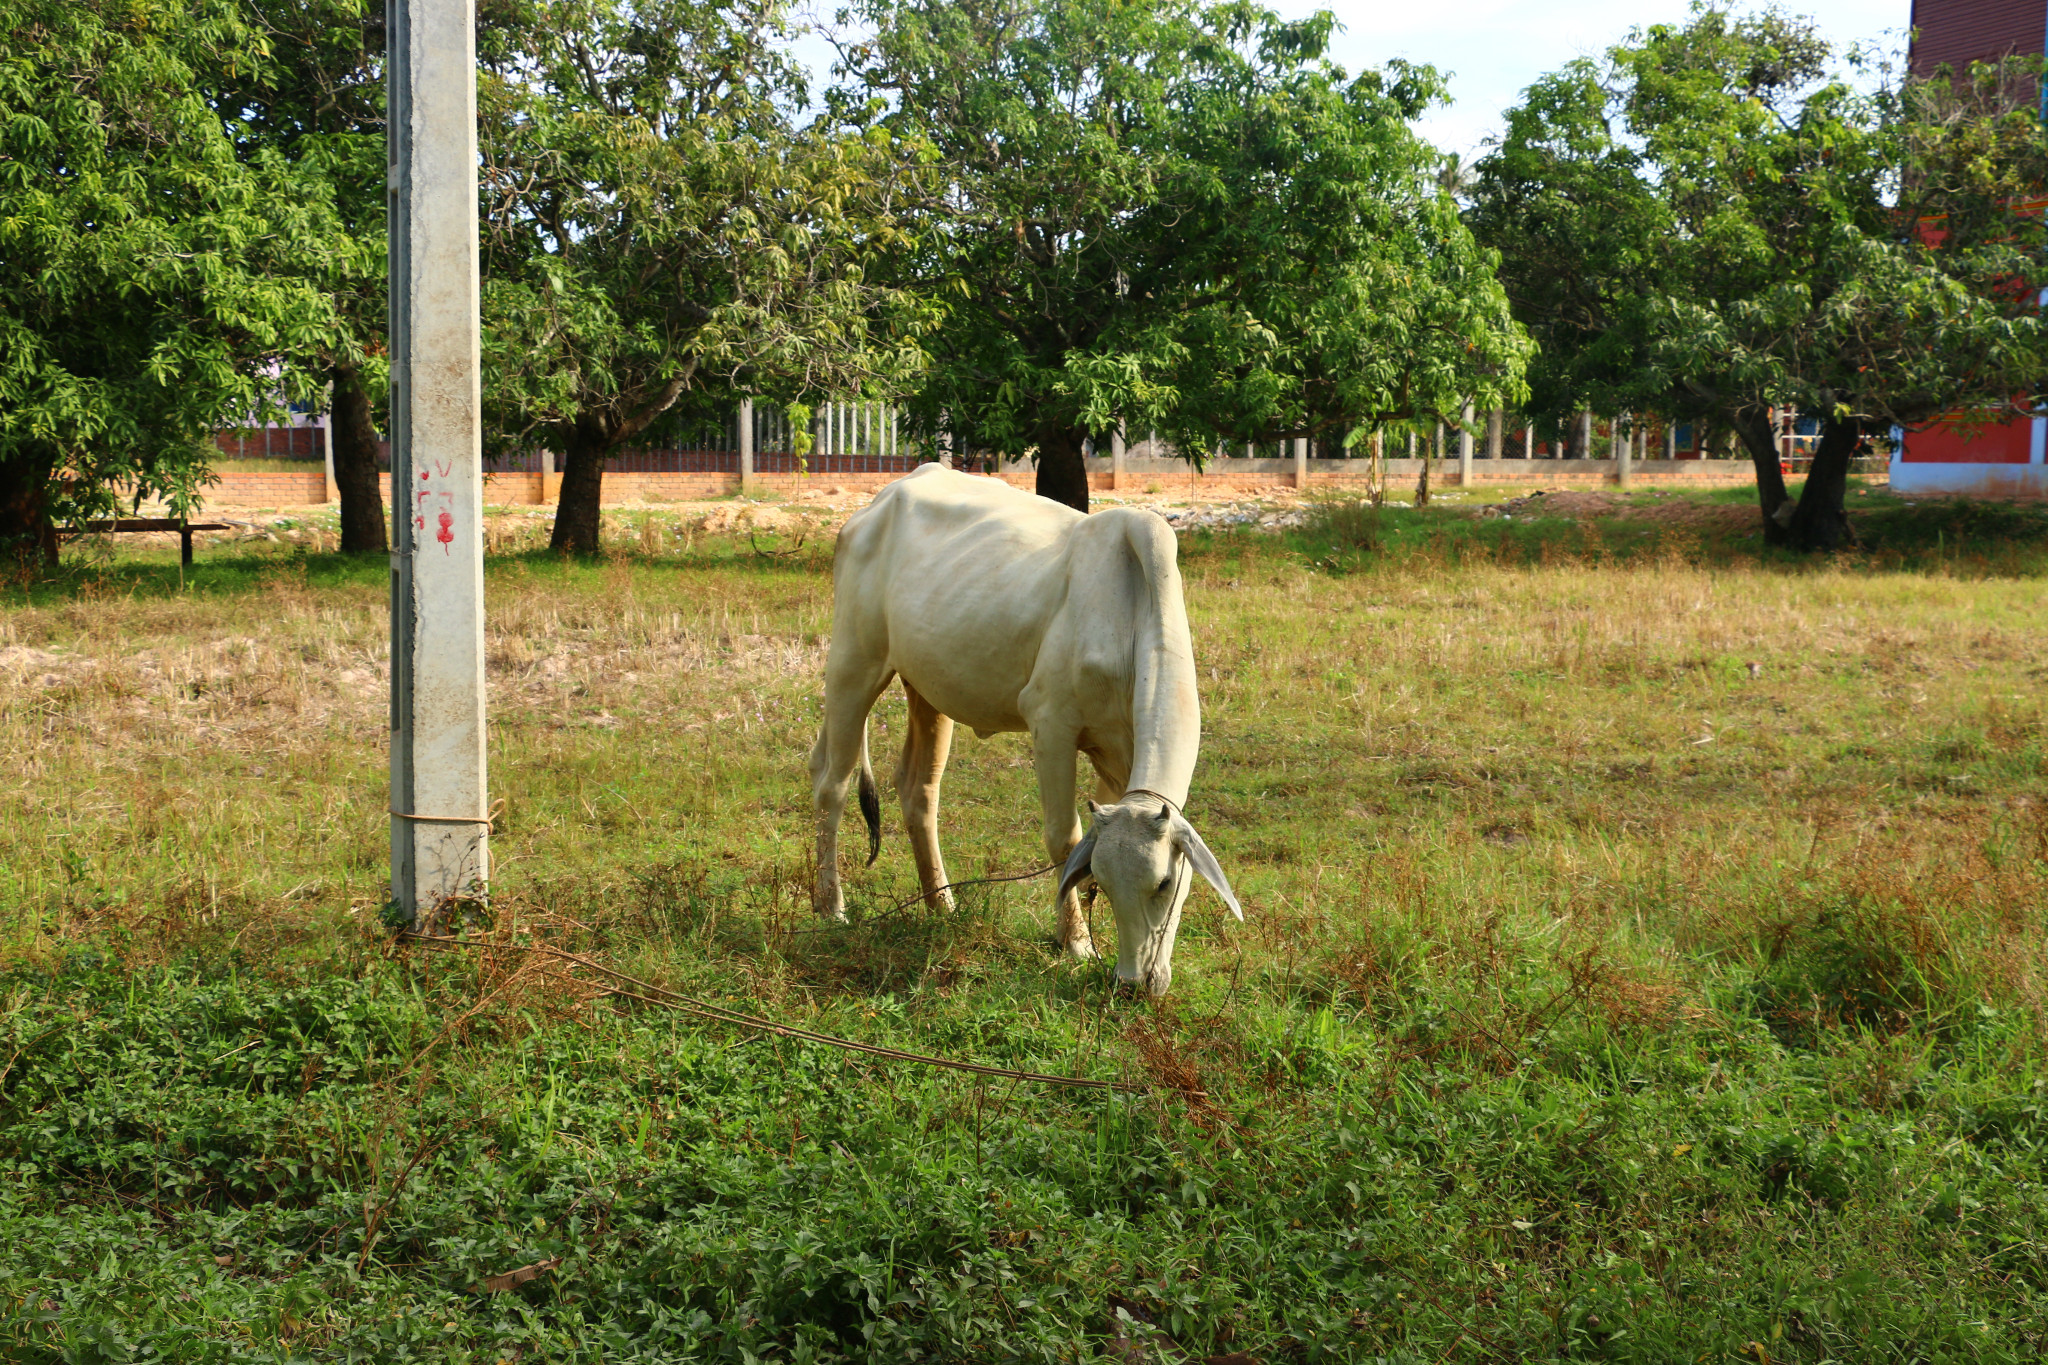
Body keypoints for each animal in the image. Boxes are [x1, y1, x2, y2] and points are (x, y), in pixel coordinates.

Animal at [806, 464, 1236, 998]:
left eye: (1165, 883)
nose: (1135, 983)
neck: (1131, 621)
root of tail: (875, 506)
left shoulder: (1118, 756)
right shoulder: (1051, 724)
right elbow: (1064, 839)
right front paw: (1077, 944)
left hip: (926, 688)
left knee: (916, 789)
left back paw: (941, 904)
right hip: (853, 663)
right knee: (833, 784)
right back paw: (831, 907)